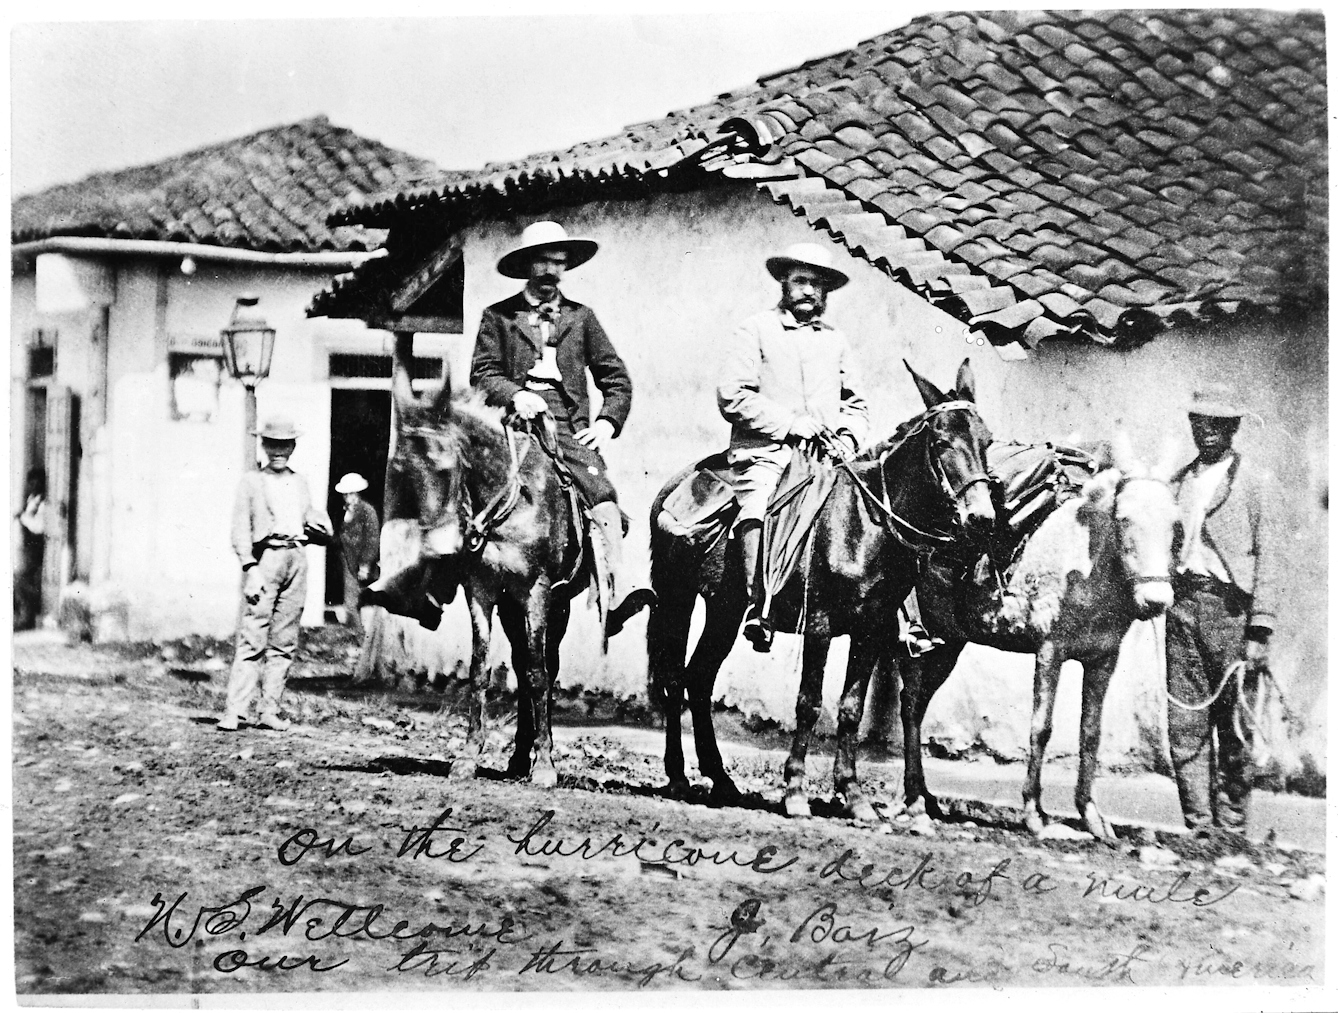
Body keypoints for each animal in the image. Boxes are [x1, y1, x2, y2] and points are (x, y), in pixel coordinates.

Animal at [379, 342, 583, 786]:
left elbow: (539, 673)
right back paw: (519, 756)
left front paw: (546, 765)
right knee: (521, 664)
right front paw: (469, 755)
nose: (440, 547)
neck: (511, 502)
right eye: (399, 471)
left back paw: (537, 754)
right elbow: (480, 669)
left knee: (543, 665)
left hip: (557, 605)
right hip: (509, 606)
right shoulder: (482, 590)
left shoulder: (537, 591)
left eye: (443, 467)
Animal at [647, 358, 995, 818]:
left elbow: (850, 709)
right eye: (940, 443)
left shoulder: (871, 632)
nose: (982, 519)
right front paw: (795, 791)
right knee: (674, 679)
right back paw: (678, 776)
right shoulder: (820, 626)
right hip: (677, 598)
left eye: (987, 442)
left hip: (725, 609)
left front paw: (853, 794)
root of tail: (676, 483)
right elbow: (809, 703)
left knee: (698, 679)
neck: (864, 524)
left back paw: (720, 780)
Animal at [899, 457, 1172, 840]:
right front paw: (1034, 812)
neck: (1086, 568)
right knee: (909, 705)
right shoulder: (1049, 652)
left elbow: (1091, 734)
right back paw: (912, 798)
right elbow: (1040, 728)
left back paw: (925, 796)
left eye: (1175, 524)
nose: (1156, 601)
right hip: (917, 640)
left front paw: (1092, 816)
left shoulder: (1104, 660)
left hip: (948, 645)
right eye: (1124, 519)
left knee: (919, 705)